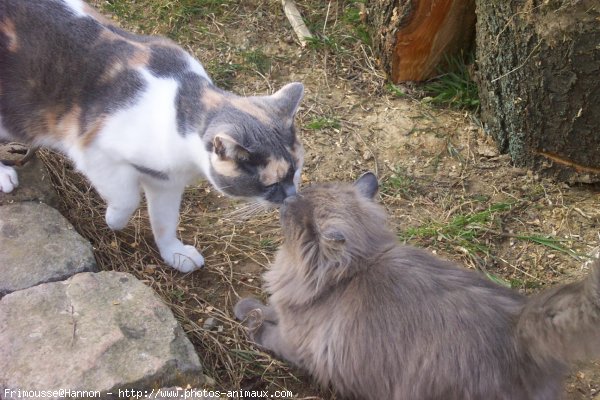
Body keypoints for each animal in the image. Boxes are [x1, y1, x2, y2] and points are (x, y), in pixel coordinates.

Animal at [0, 0, 304, 272]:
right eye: (270, 184)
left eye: (297, 171)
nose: (292, 197)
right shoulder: (93, 152)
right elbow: (127, 199)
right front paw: (113, 221)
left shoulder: (166, 183)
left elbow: (165, 222)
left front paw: (175, 254)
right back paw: (5, 175)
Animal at [233, 173, 600, 400]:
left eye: (299, 216)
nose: (285, 200)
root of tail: (521, 323)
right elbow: (266, 307)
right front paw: (248, 308)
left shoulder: (296, 344)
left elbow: (267, 332)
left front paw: (250, 321)